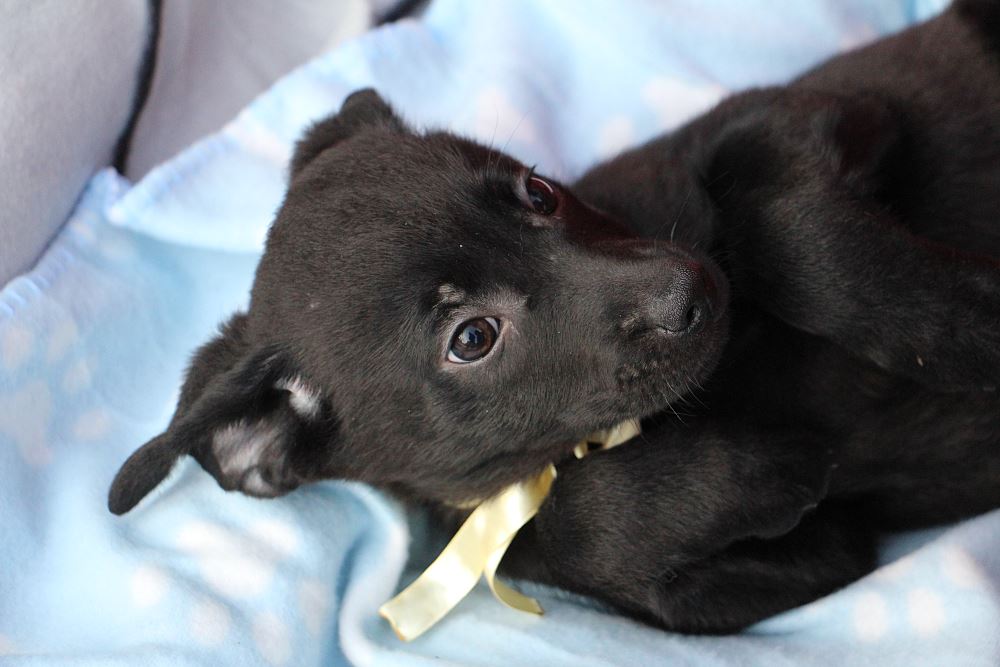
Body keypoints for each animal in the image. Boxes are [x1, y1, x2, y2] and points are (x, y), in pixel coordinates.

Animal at [109, 0, 1000, 633]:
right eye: (472, 338)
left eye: (537, 192)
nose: (694, 289)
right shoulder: (802, 561)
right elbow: (583, 525)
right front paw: (750, 469)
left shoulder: (811, 114)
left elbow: (784, 226)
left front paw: (968, 323)